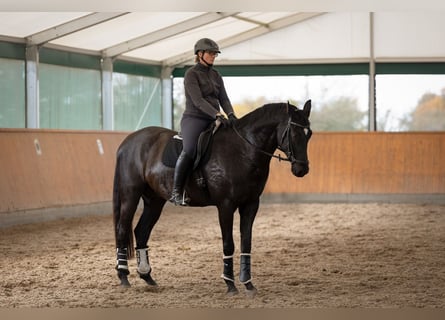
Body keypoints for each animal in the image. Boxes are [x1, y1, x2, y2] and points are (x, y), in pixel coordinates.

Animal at [112, 100, 310, 298]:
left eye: (309, 134)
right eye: (294, 133)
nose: (302, 169)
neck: (244, 149)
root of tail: (128, 142)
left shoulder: (251, 204)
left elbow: (246, 243)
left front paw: (248, 284)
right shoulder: (226, 205)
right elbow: (228, 244)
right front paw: (230, 284)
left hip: (154, 201)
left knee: (141, 232)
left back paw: (147, 277)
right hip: (131, 195)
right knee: (122, 229)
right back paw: (123, 276)